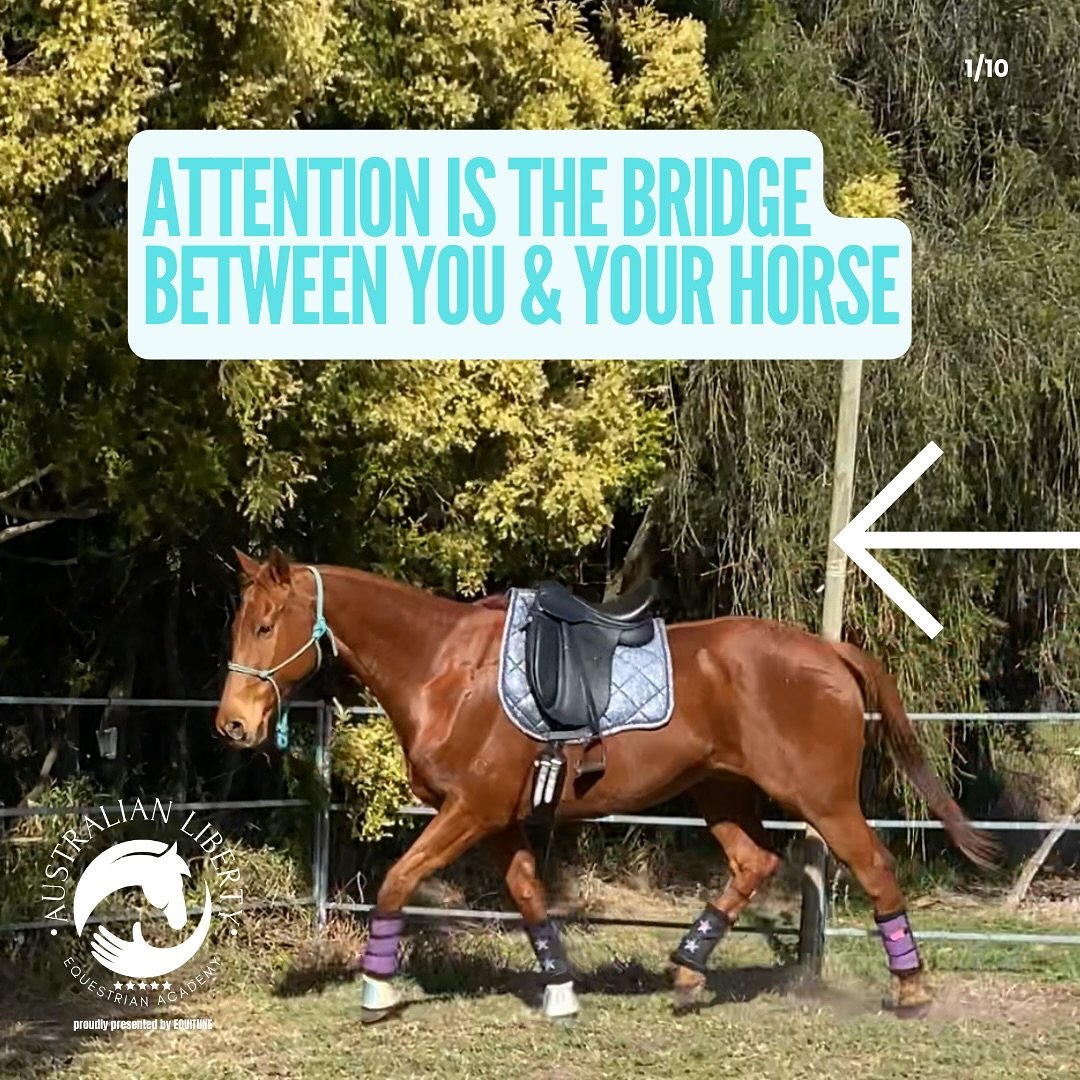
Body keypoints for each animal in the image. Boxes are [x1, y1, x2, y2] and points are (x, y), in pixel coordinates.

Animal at [214, 549, 998, 1023]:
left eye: (265, 625)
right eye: (238, 624)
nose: (233, 726)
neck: (445, 670)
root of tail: (828, 652)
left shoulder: (470, 812)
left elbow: (398, 880)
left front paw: (376, 988)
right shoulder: (499, 819)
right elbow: (529, 897)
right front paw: (560, 991)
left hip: (824, 801)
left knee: (875, 868)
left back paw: (911, 989)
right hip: (720, 793)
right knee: (753, 863)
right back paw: (686, 973)